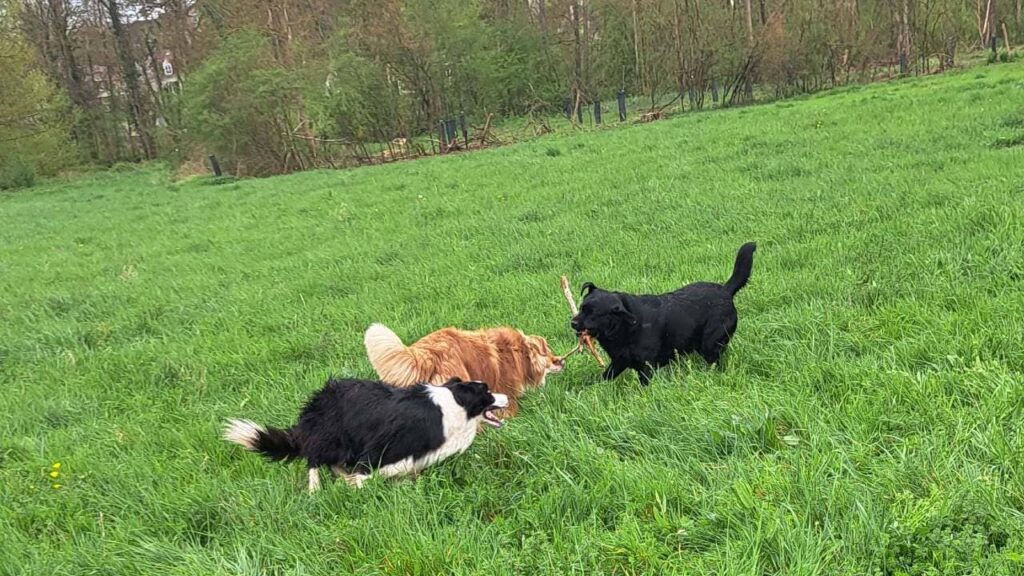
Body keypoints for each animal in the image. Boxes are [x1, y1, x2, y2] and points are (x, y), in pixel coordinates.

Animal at [227, 377, 507, 487]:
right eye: (487, 391)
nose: (507, 397)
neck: (454, 404)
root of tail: (315, 402)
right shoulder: (383, 447)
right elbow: (369, 473)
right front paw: (357, 485)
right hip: (332, 437)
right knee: (313, 458)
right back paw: (315, 488)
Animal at [573, 239, 757, 383]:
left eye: (594, 314)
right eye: (582, 308)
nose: (573, 322)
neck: (625, 326)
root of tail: (726, 291)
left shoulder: (646, 368)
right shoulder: (619, 362)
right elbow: (603, 379)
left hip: (710, 344)